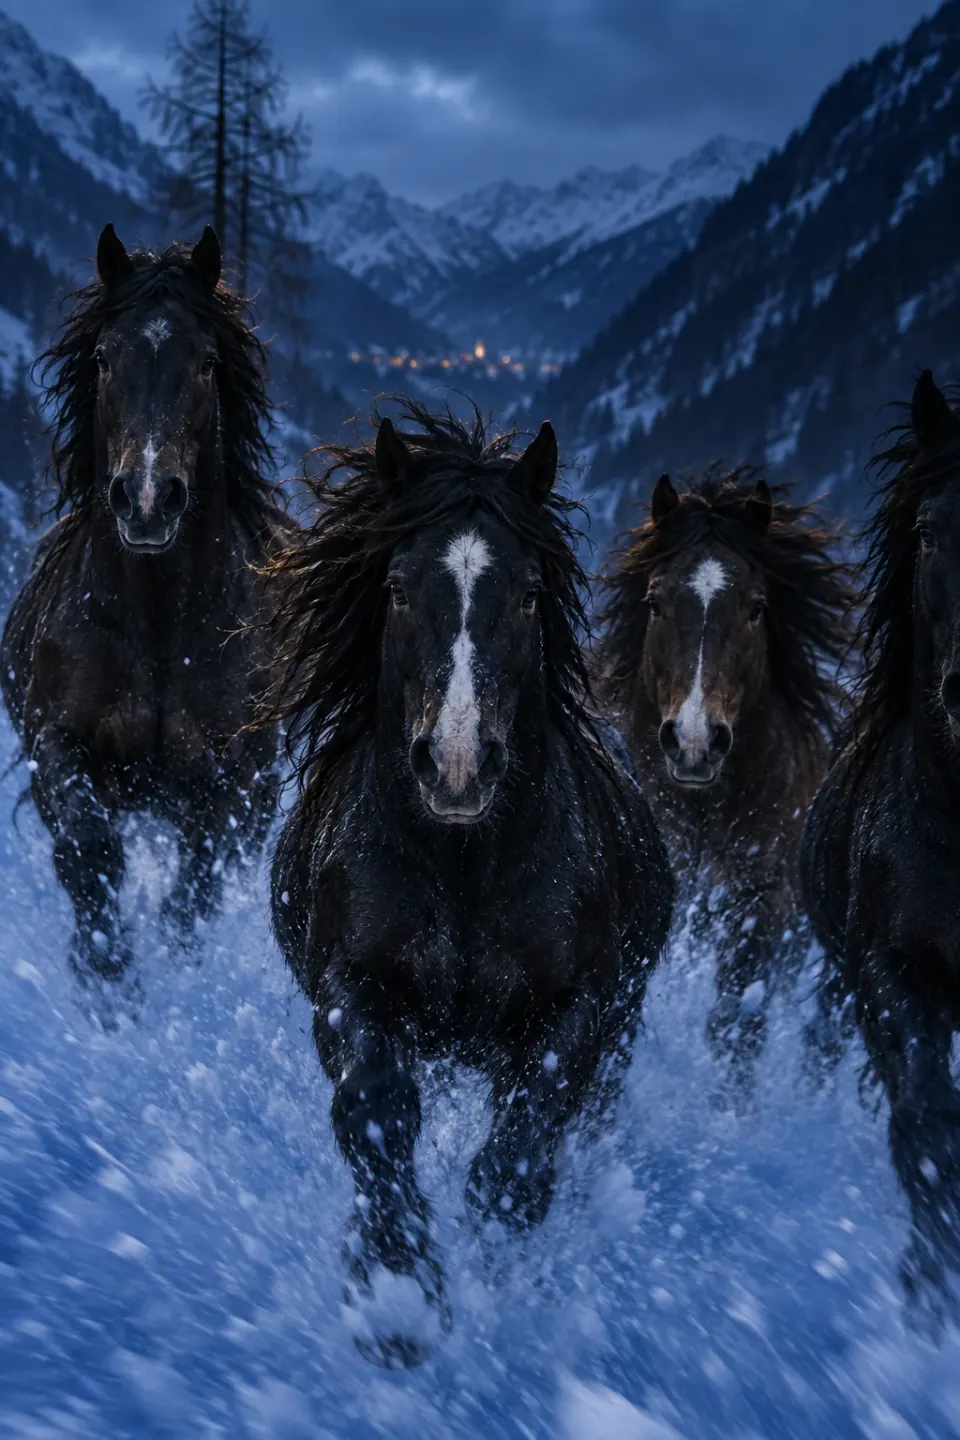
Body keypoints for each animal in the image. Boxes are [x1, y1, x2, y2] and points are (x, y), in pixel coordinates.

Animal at [0, 224, 289, 1000]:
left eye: (207, 361)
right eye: (104, 358)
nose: (150, 499)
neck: (162, 633)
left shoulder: (228, 789)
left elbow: (194, 895)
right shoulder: (58, 751)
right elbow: (89, 852)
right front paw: (108, 981)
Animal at [260, 401, 673, 1367]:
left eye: (525, 594)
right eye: (399, 587)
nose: (455, 765)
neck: (461, 864)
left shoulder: (574, 1013)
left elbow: (520, 1154)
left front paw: (485, 1270)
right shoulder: (353, 989)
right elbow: (376, 1110)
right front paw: (398, 1292)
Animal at [597, 468, 853, 1100]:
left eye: (757, 607)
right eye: (655, 601)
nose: (694, 741)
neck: (703, 812)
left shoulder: (757, 913)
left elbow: (735, 1029)